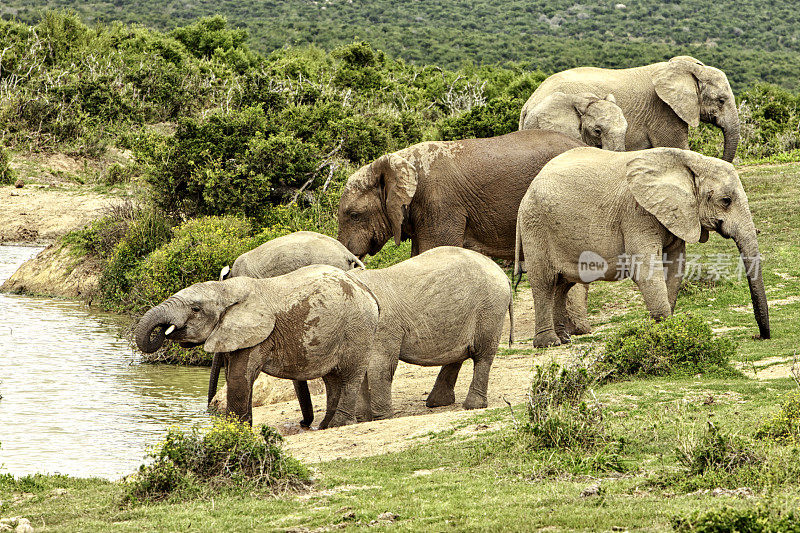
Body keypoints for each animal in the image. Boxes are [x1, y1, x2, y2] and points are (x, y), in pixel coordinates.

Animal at [134, 266, 378, 428]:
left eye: (195, 309)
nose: (163, 330)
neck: (226, 289)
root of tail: (368, 292)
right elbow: (235, 376)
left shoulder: (259, 336)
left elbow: (239, 378)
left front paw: (235, 432)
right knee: (332, 379)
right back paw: (325, 425)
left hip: (357, 329)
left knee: (349, 376)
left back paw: (339, 425)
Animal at [516, 145, 772, 348]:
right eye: (726, 201)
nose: (760, 336)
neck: (689, 162)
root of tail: (528, 189)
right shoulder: (636, 213)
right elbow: (646, 271)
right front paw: (667, 335)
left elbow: (674, 268)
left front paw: (664, 331)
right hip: (535, 225)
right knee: (545, 281)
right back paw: (548, 343)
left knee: (563, 284)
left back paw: (564, 339)